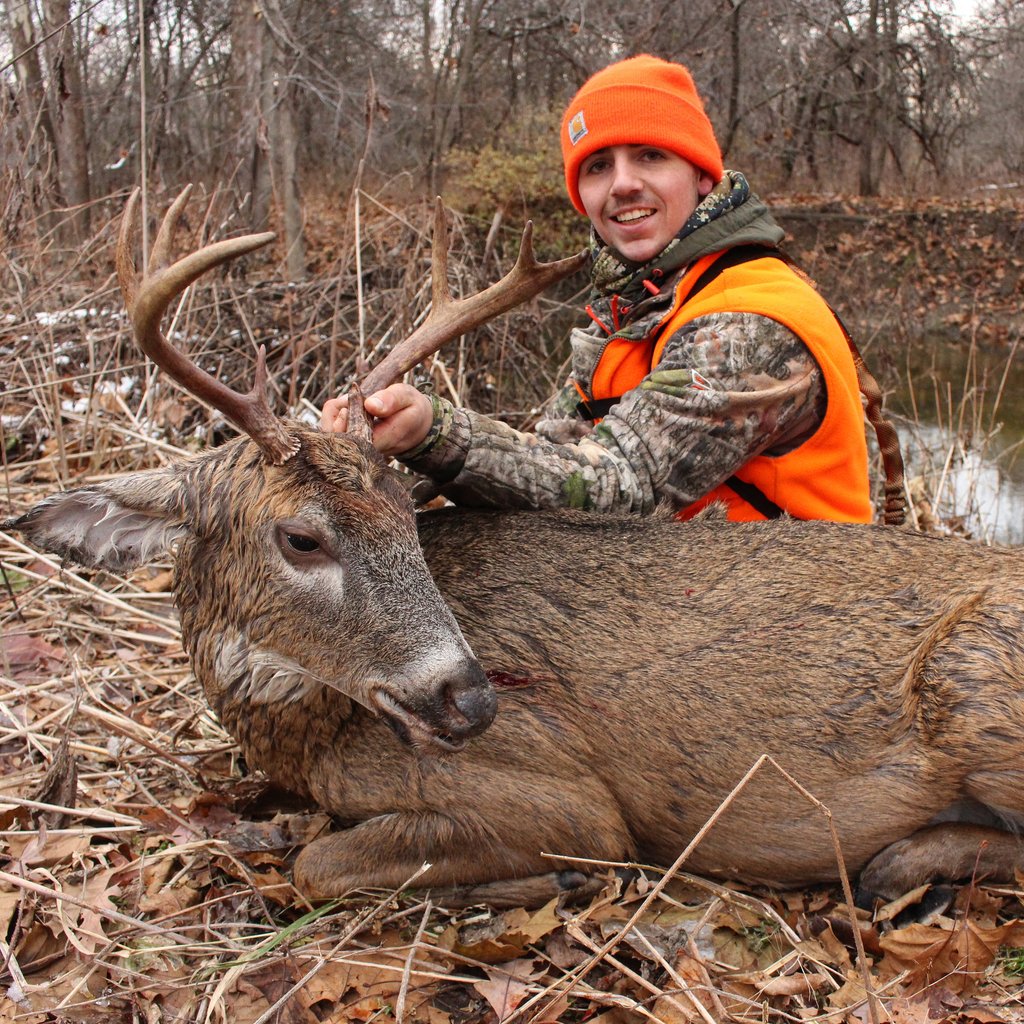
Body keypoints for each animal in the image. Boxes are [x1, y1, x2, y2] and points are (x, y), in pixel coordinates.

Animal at [5, 187, 1024, 910]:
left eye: (406, 516)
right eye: (300, 536)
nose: (471, 699)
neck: (309, 732)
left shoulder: (566, 800)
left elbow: (320, 862)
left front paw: (560, 880)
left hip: (977, 677)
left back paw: (901, 866)